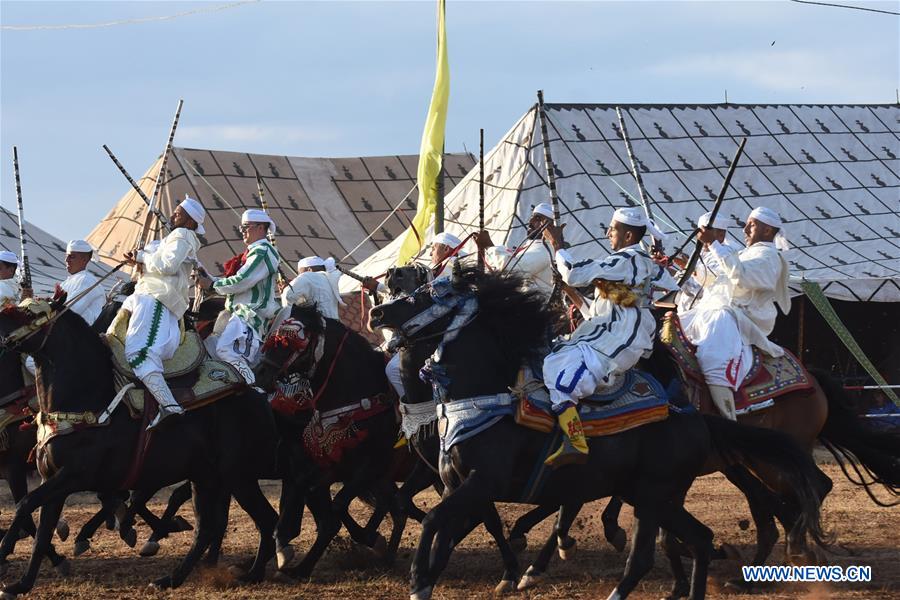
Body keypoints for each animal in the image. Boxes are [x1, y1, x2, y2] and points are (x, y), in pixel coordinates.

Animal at [0, 296, 278, 600]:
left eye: (29, 312)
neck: (87, 402)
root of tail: (258, 396)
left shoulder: (71, 477)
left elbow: (24, 506)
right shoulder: (52, 480)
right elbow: (40, 530)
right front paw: (21, 583)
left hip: (235, 476)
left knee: (259, 520)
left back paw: (240, 573)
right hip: (207, 477)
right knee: (214, 528)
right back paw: (180, 577)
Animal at [370, 270, 828, 600]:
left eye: (421, 296)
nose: (376, 314)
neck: (483, 398)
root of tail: (695, 418)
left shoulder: (483, 483)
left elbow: (436, 521)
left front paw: (420, 579)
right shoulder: (457, 486)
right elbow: (449, 532)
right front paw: (437, 575)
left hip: (657, 492)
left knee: (647, 556)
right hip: (654, 495)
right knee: (700, 539)